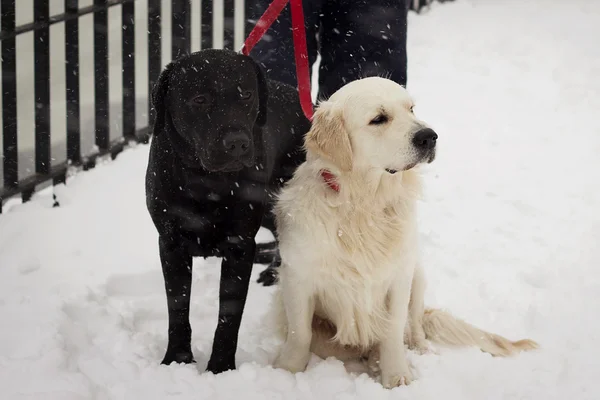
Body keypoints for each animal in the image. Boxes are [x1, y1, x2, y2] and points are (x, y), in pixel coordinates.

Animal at [145, 49, 310, 372]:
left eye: (246, 94)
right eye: (200, 99)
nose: (237, 144)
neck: (204, 180)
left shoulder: (239, 245)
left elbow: (229, 315)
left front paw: (220, 367)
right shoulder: (170, 244)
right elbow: (177, 307)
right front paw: (177, 359)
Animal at [270, 77, 536, 388]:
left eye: (411, 109)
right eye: (379, 119)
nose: (429, 136)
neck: (363, 204)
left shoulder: (398, 277)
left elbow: (394, 330)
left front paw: (396, 377)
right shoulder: (296, 277)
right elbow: (300, 333)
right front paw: (286, 371)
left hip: (418, 274)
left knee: (417, 324)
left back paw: (417, 350)